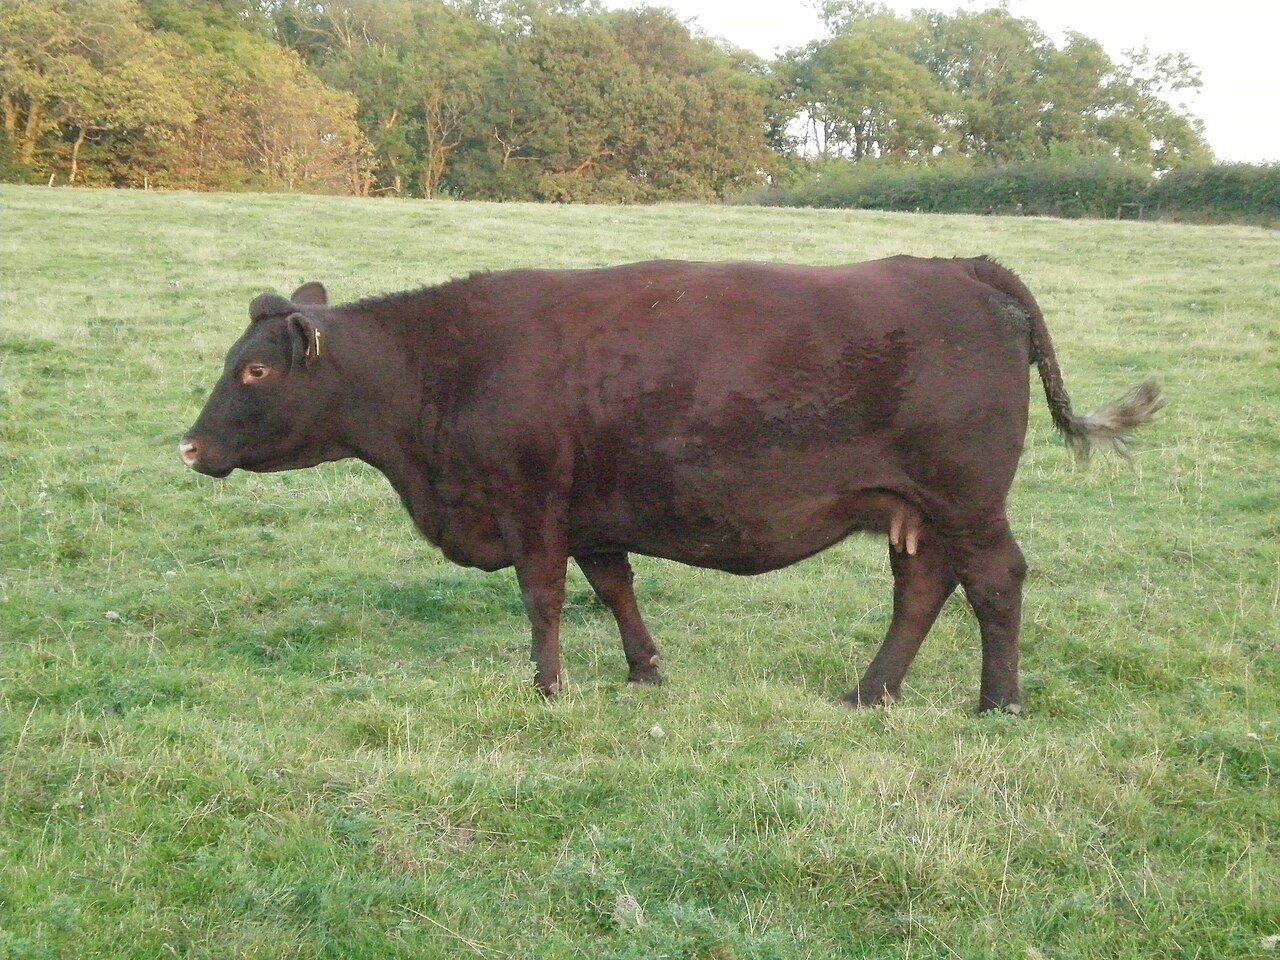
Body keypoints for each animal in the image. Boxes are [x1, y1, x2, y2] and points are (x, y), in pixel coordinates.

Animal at [180, 256, 1164, 713]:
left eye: (255, 371)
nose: (189, 447)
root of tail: (960, 265)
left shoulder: (531, 502)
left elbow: (542, 597)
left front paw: (549, 688)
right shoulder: (591, 512)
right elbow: (614, 586)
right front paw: (644, 671)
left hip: (966, 495)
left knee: (995, 581)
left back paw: (998, 703)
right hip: (914, 508)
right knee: (923, 586)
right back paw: (870, 692)